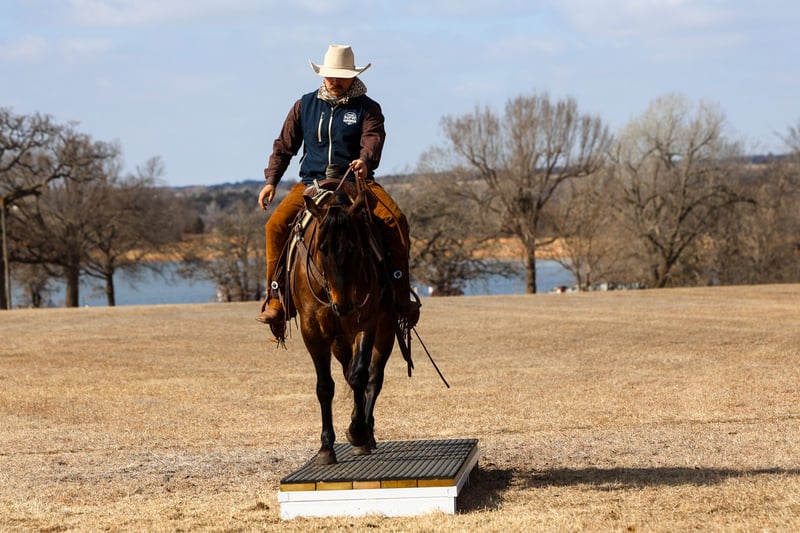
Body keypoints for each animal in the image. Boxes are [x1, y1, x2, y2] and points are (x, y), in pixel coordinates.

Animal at [290, 186, 398, 465]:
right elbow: (325, 387)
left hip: (386, 331)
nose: (343, 304)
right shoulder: (312, 331)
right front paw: (326, 447)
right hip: (338, 340)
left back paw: (366, 434)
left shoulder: (366, 322)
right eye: (322, 248)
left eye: (355, 247)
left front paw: (357, 432)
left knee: (373, 377)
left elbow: (360, 376)